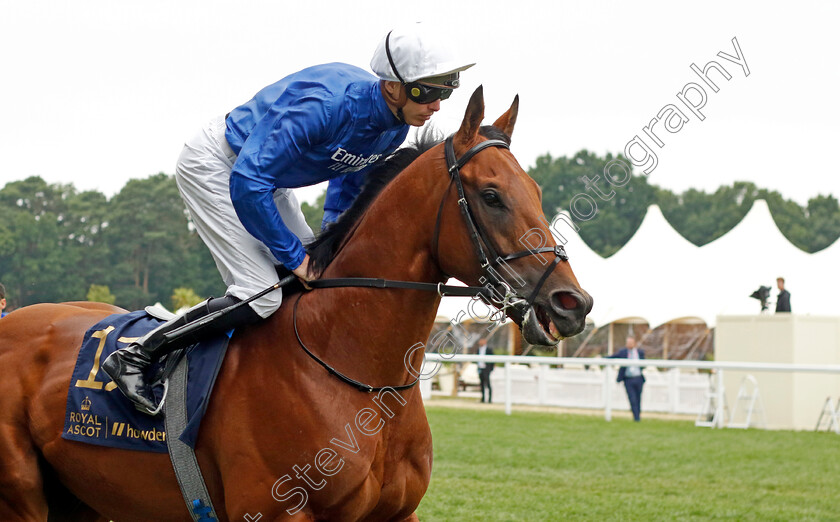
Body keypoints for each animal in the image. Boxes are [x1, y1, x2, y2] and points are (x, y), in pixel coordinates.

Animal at [0, 87, 592, 516]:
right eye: (491, 196)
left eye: (537, 192)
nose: (573, 303)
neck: (357, 376)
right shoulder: (276, 511)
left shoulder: (397, 514)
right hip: (22, 496)